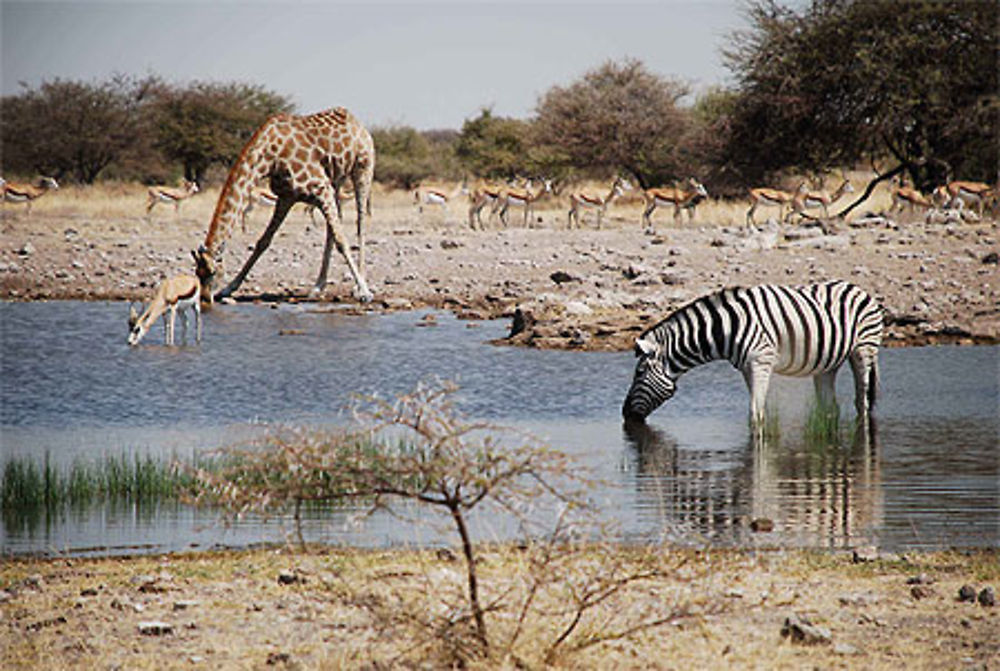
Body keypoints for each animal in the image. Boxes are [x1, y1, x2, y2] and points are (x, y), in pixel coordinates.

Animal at [192, 107, 376, 304]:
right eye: (197, 273)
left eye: (212, 272)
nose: (204, 299)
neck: (269, 158)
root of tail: (358, 123)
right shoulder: (286, 197)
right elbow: (263, 242)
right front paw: (229, 288)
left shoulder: (321, 188)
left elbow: (342, 241)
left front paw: (364, 291)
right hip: (336, 180)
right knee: (332, 228)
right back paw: (318, 286)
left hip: (362, 170)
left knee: (360, 224)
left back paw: (356, 287)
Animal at [624, 280, 884, 428]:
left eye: (639, 372)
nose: (625, 414)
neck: (726, 329)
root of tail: (859, 289)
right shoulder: (748, 368)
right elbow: (757, 410)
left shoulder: (761, 362)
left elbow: (754, 413)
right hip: (828, 362)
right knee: (831, 406)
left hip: (864, 349)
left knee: (862, 400)